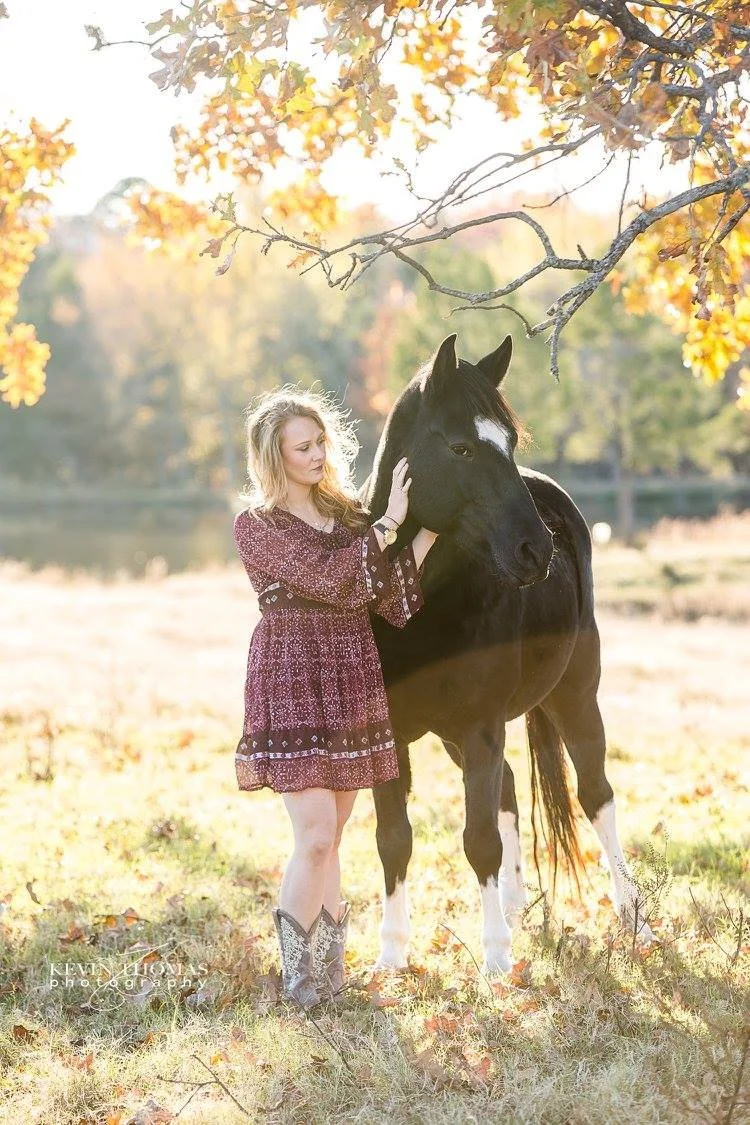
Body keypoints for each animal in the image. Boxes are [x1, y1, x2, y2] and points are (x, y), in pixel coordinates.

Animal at [360, 333, 654, 974]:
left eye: (511, 442)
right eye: (462, 447)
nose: (535, 550)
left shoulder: (481, 726)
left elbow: (479, 840)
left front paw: (494, 958)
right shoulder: (393, 736)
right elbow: (395, 838)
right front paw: (390, 954)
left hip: (575, 697)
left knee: (596, 796)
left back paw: (633, 919)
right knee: (512, 788)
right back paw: (519, 906)